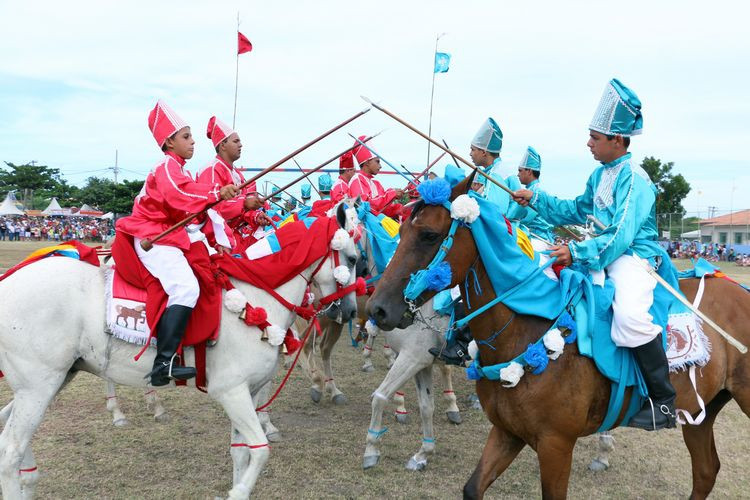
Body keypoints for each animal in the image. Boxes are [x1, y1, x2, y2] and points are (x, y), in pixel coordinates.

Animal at [0, 212, 362, 500]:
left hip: (52, 381)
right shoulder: (231, 392)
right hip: (39, 387)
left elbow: (241, 453)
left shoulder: (250, 392)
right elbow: (259, 451)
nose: (349, 312)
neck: (256, 295)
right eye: (353, 258)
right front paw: (238, 491)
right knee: (10, 452)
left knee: (11, 441)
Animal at [368, 174, 750, 498]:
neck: (526, 330)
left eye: (429, 235)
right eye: (400, 231)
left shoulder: (556, 445)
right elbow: (473, 487)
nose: (377, 309)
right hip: (701, 412)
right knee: (705, 472)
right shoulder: (507, 432)